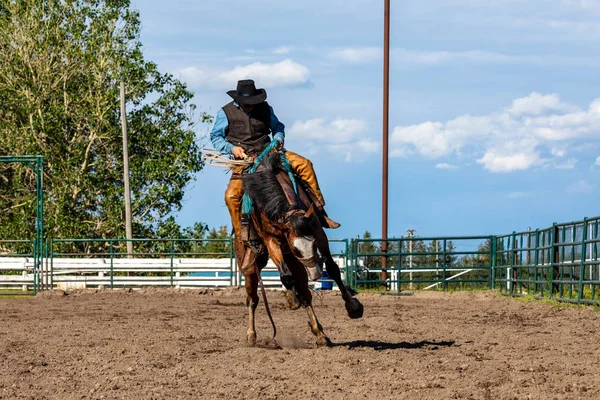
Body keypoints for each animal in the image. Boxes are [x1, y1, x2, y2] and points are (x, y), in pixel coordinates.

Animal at [232, 146, 366, 346]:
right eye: (295, 248)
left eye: (313, 243)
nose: (316, 274)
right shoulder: (271, 240)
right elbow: (286, 277)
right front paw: (292, 298)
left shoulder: (317, 230)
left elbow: (332, 268)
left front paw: (353, 307)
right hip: (251, 268)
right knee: (253, 299)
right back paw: (251, 334)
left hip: (295, 263)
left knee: (305, 294)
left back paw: (319, 333)